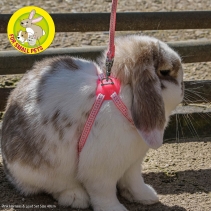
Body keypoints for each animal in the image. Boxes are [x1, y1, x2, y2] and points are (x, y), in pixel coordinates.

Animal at [1, 35, 183, 211]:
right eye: (165, 71)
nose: (182, 89)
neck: (124, 98)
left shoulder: (133, 163)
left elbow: (133, 181)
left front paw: (147, 197)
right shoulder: (102, 169)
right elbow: (104, 192)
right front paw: (114, 209)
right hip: (43, 168)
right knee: (55, 185)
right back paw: (76, 198)